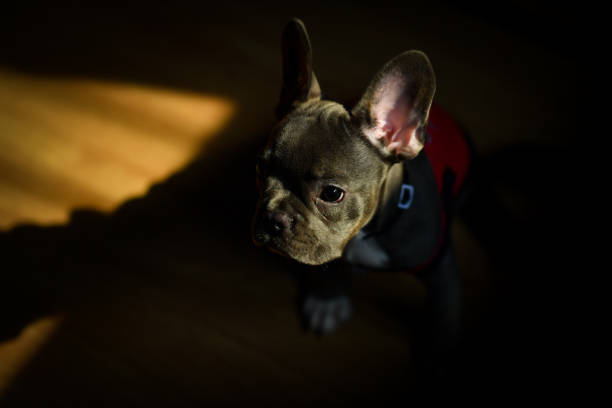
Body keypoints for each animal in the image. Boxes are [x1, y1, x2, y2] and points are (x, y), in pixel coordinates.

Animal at [251, 19, 470, 374]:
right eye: (260, 167)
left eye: (331, 193)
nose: (273, 218)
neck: (366, 233)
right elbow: (332, 263)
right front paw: (328, 298)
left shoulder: (439, 262)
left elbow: (444, 312)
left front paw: (439, 353)